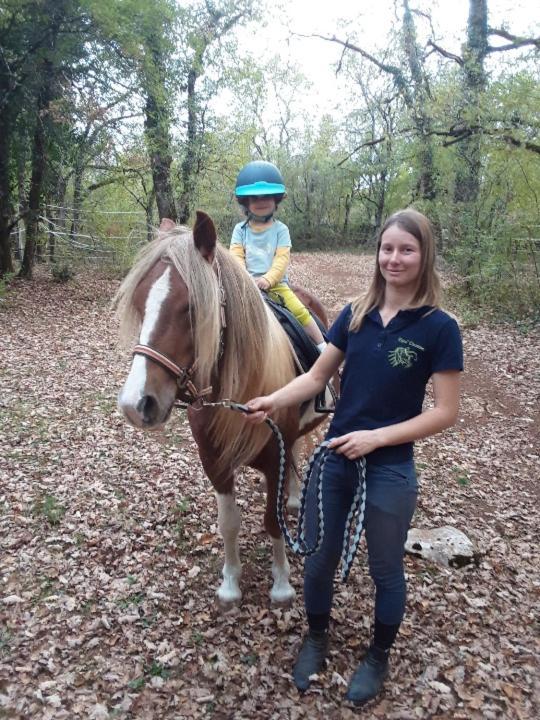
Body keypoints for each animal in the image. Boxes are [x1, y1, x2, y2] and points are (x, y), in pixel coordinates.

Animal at [116, 215, 330, 608]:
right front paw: (230, 583)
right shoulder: (214, 461)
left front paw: (281, 584)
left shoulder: (274, 456)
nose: (136, 405)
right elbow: (229, 523)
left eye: (190, 307)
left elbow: (272, 520)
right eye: (139, 303)